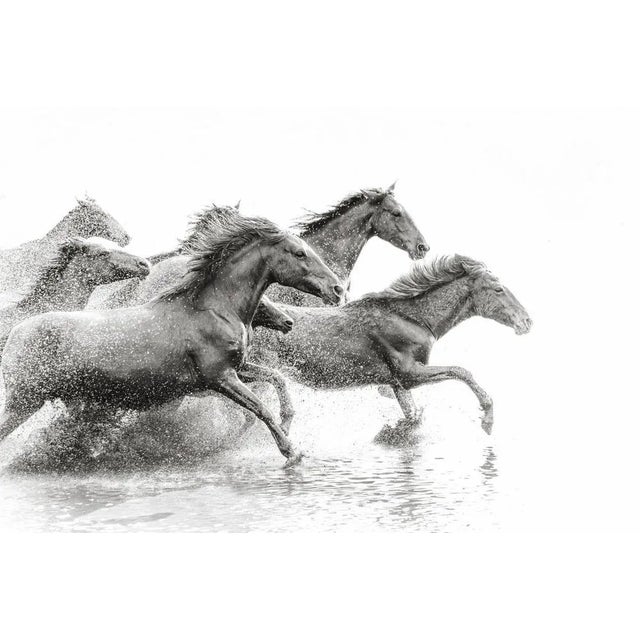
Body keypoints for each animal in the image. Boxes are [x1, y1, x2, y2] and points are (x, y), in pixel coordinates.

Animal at [253, 255, 532, 438]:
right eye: (498, 289)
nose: (526, 321)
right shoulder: (409, 374)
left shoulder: (398, 383)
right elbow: (460, 371)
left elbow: (413, 415)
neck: (413, 319)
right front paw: (487, 418)